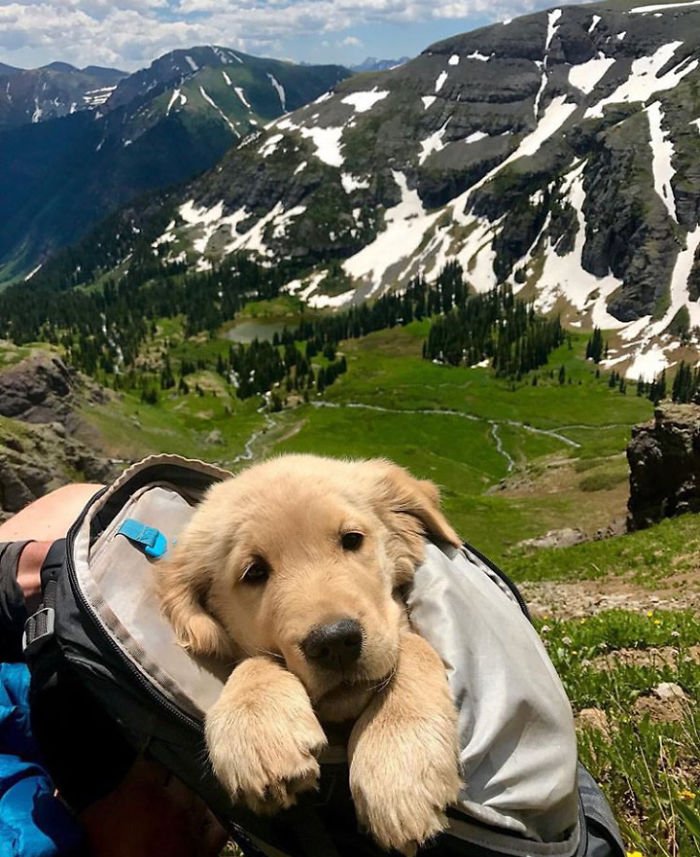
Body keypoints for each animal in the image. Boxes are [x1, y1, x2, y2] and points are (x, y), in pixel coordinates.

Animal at [156, 452, 462, 852]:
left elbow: (413, 644)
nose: (334, 643)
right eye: (254, 572)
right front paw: (258, 731)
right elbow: (255, 660)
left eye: (351, 539)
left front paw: (397, 767)